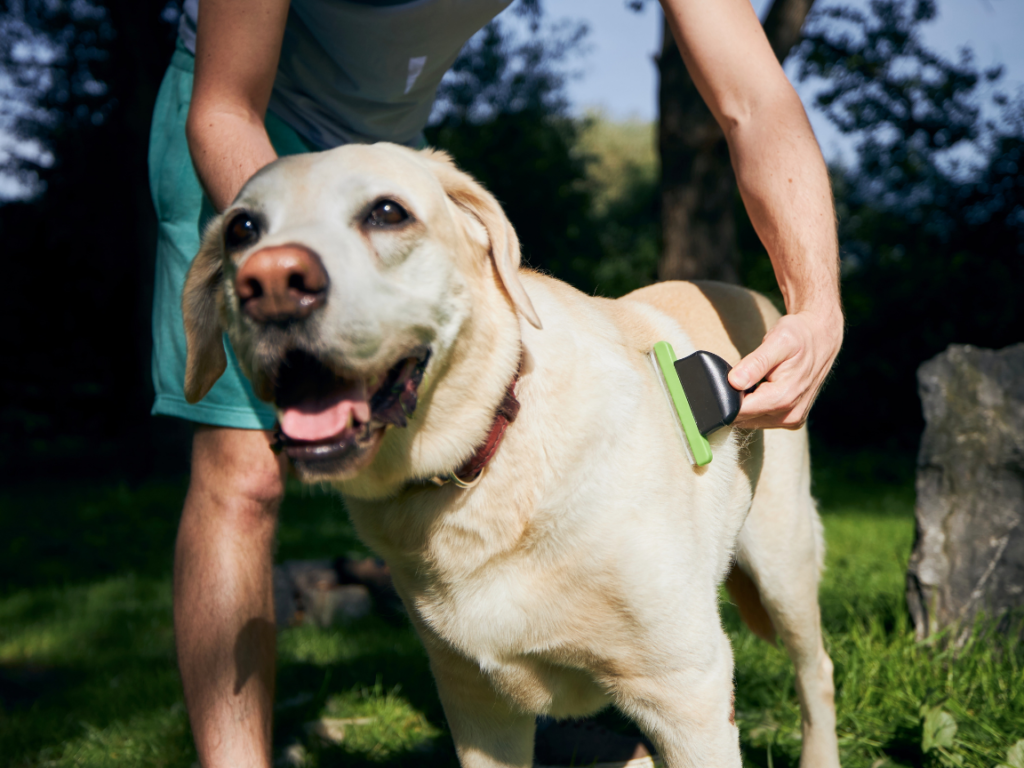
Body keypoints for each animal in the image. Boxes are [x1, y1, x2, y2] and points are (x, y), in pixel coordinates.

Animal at [182, 144, 839, 768]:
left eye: (388, 213)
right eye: (242, 229)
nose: (270, 283)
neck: (481, 466)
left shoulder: (688, 690)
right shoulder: (476, 705)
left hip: (783, 566)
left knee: (818, 670)